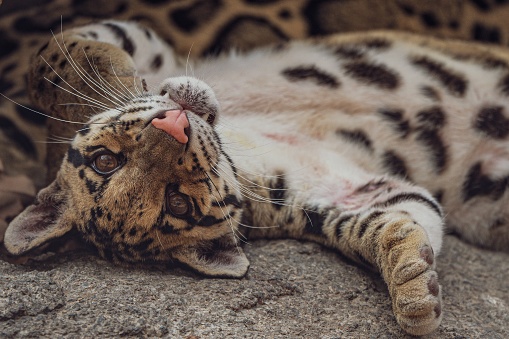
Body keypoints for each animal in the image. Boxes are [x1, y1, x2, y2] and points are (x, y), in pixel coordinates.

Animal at [5, 19, 508, 336]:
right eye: (178, 203)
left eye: (105, 162)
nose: (175, 126)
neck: (239, 143)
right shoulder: (338, 193)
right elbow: (384, 220)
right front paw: (414, 286)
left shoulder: (144, 41)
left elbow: (51, 52)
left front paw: (112, 81)